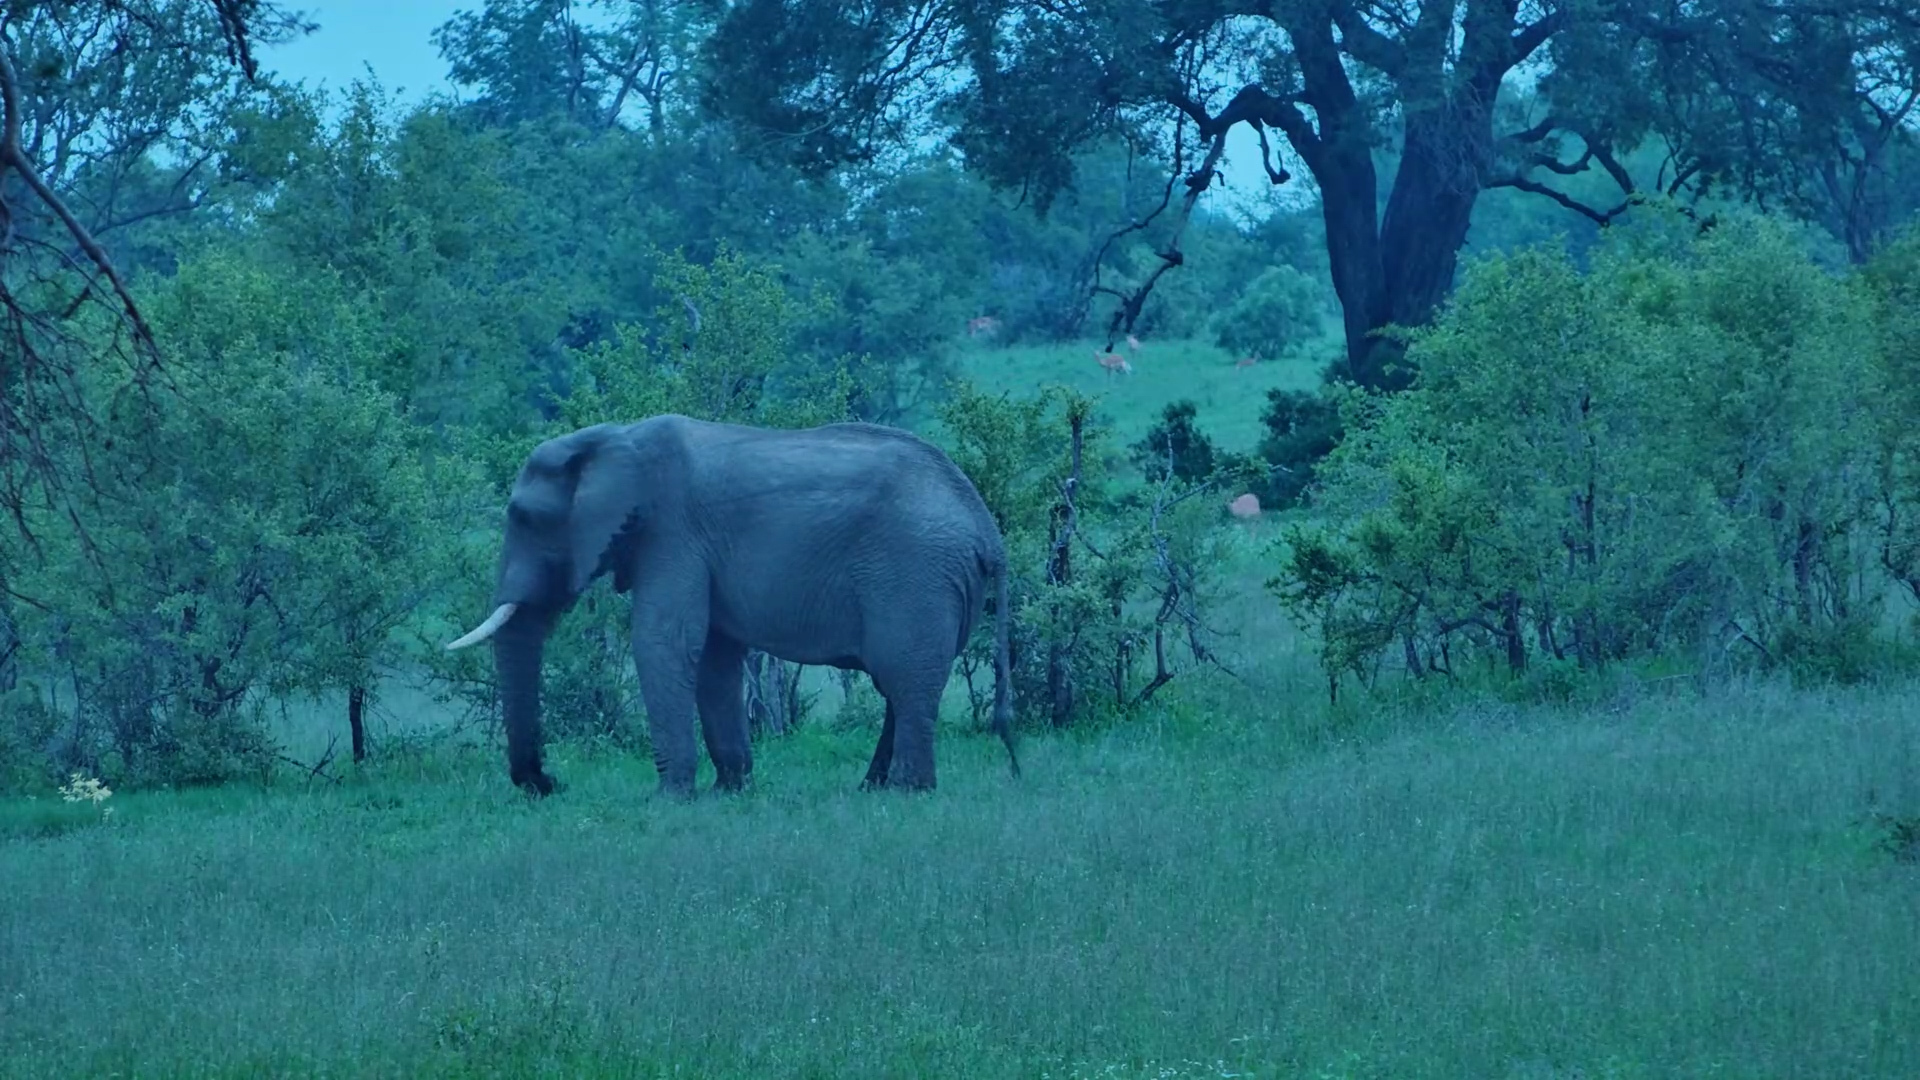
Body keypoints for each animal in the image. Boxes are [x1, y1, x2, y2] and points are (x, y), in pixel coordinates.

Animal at [445, 414, 1020, 797]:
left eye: (524, 518)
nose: (548, 783)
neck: (612, 439)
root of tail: (987, 530)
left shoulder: (672, 534)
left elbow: (664, 643)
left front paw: (670, 799)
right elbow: (715, 659)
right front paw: (731, 790)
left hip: (915, 576)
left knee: (904, 677)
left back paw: (904, 792)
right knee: (900, 684)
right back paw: (871, 788)